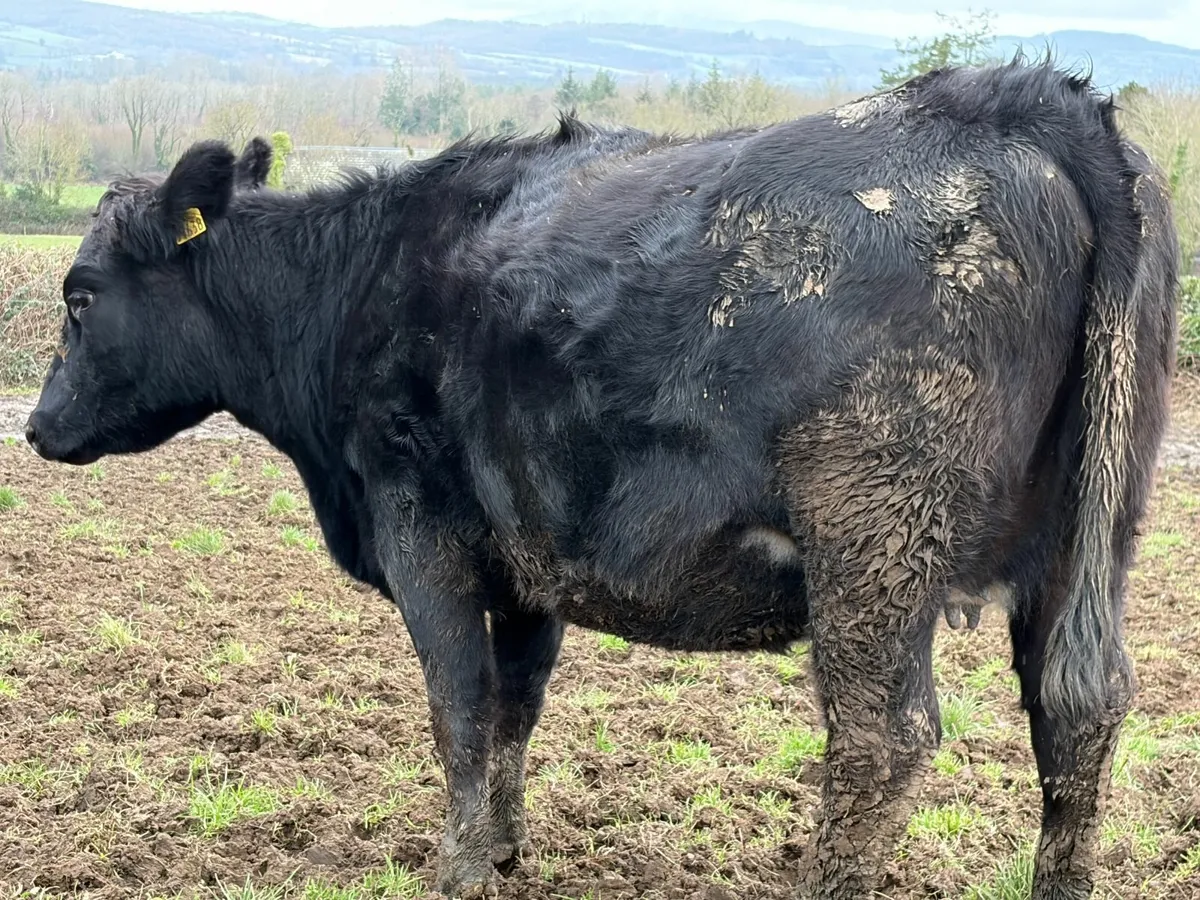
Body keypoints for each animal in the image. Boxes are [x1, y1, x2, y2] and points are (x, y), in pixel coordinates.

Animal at [23, 58, 1179, 899]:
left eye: (80, 296)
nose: (36, 426)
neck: (356, 285)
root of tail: (1020, 98)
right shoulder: (529, 558)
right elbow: (513, 709)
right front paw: (504, 851)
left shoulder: (423, 529)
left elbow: (458, 706)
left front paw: (458, 872)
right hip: (1092, 536)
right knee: (1079, 707)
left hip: (874, 543)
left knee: (880, 741)